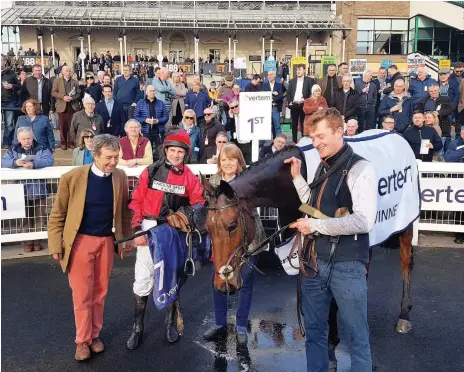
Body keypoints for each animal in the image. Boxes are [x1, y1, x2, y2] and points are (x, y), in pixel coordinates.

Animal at [203, 144, 416, 364]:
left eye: (232, 225)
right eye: (207, 227)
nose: (223, 283)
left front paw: (332, 340)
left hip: (406, 224)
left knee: (405, 262)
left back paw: (404, 315)